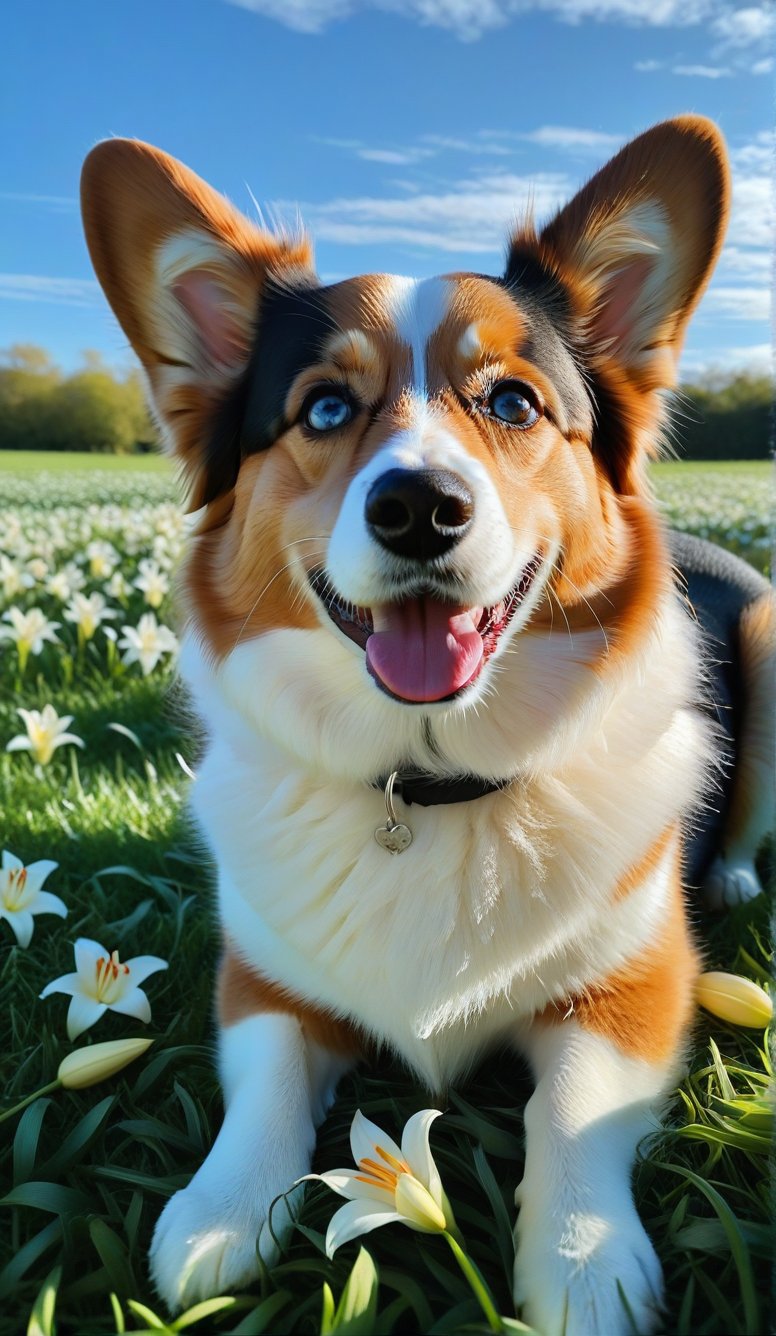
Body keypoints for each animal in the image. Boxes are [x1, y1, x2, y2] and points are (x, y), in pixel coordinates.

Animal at [81, 117, 769, 1336]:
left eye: (513, 404)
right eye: (321, 409)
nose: (418, 508)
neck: (428, 779)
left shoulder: (633, 993)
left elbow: (569, 1109)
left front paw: (584, 1260)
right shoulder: (261, 983)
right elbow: (262, 1089)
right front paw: (218, 1214)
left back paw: (731, 874)